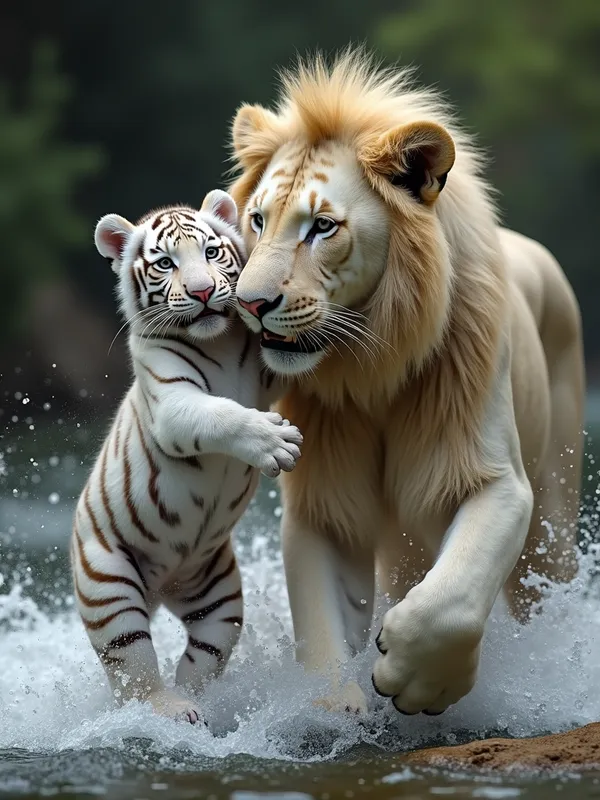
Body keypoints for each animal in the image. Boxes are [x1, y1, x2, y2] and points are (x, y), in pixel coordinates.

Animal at [70, 189, 303, 724]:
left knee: (206, 654)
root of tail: (160, 591)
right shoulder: (173, 403)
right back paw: (172, 711)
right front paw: (276, 443)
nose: (201, 292)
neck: (217, 342)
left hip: (219, 596)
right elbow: (221, 413)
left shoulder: (270, 371)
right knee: (134, 673)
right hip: (110, 586)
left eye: (212, 253)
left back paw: (200, 704)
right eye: (165, 263)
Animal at [228, 49, 585, 716]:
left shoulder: (496, 478)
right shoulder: (324, 502)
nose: (250, 304)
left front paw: (415, 680)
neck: (371, 371)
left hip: (555, 507)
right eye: (258, 219)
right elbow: (321, 628)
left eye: (321, 227)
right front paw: (333, 710)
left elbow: (452, 602)